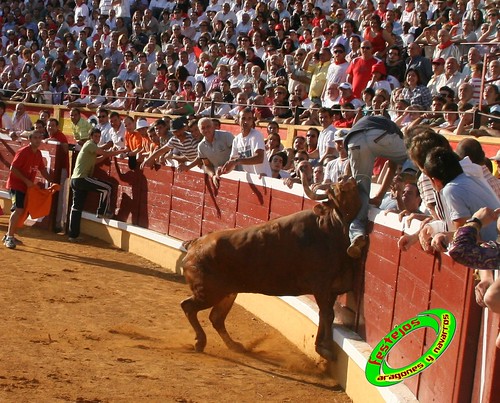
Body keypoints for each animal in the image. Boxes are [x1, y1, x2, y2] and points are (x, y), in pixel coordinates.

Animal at [182, 178, 362, 362]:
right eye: (337, 191)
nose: (350, 180)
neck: (330, 228)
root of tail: (195, 243)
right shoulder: (321, 287)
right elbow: (327, 314)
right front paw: (325, 350)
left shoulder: (330, 291)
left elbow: (324, 315)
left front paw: (323, 347)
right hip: (209, 293)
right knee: (188, 307)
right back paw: (200, 342)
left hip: (228, 293)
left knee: (216, 318)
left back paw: (235, 346)